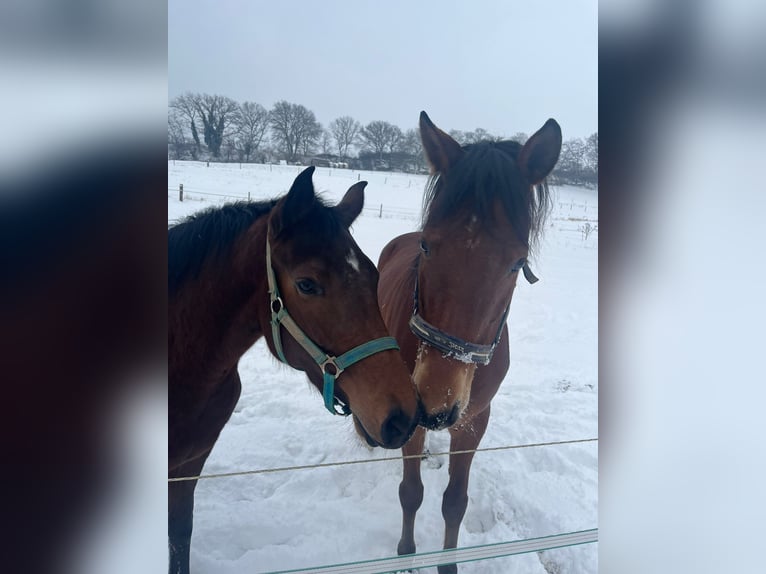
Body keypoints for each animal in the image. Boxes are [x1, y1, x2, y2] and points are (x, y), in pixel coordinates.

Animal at [378, 111, 564, 572]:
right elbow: (411, 493)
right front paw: (405, 555)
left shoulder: (474, 422)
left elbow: (454, 503)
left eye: (517, 262)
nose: (435, 403)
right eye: (427, 245)